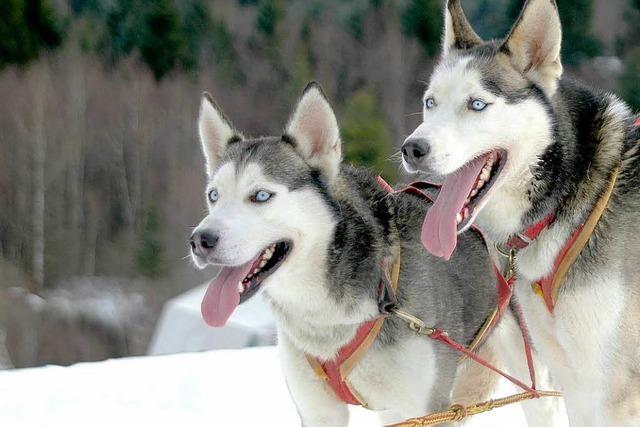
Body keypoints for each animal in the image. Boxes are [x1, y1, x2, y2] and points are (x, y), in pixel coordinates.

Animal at [402, 0, 640, 424]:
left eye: (477, 104)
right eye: (430, 103)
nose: (412, 149)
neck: (575, 199)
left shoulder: (617, 390)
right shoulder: (576, 381)